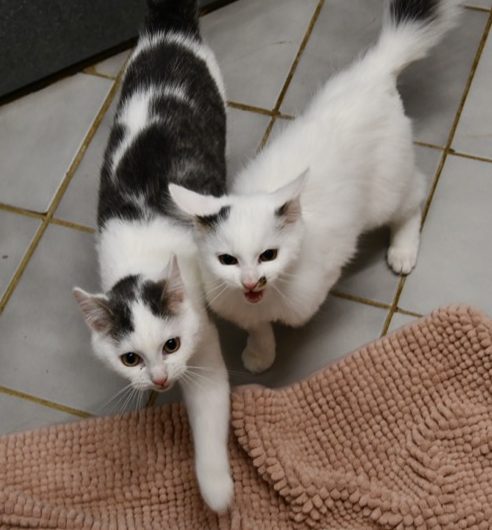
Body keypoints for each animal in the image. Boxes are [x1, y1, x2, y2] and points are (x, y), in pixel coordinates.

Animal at [73, 0, 233, 512]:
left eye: (172, 345)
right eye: (130, 359)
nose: (161, 380)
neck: (141, 262)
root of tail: (166, 30)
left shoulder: (201, 340)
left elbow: (209, 404)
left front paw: (216, 489)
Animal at [170, 0, 462, 373]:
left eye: (268, 255)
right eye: (227, 260)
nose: (249, 280)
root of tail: (373, 70)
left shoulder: (319, 276)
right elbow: (259, 327)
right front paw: (261, 353)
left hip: (385, 190)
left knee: (413, 198)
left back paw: (403, 250)